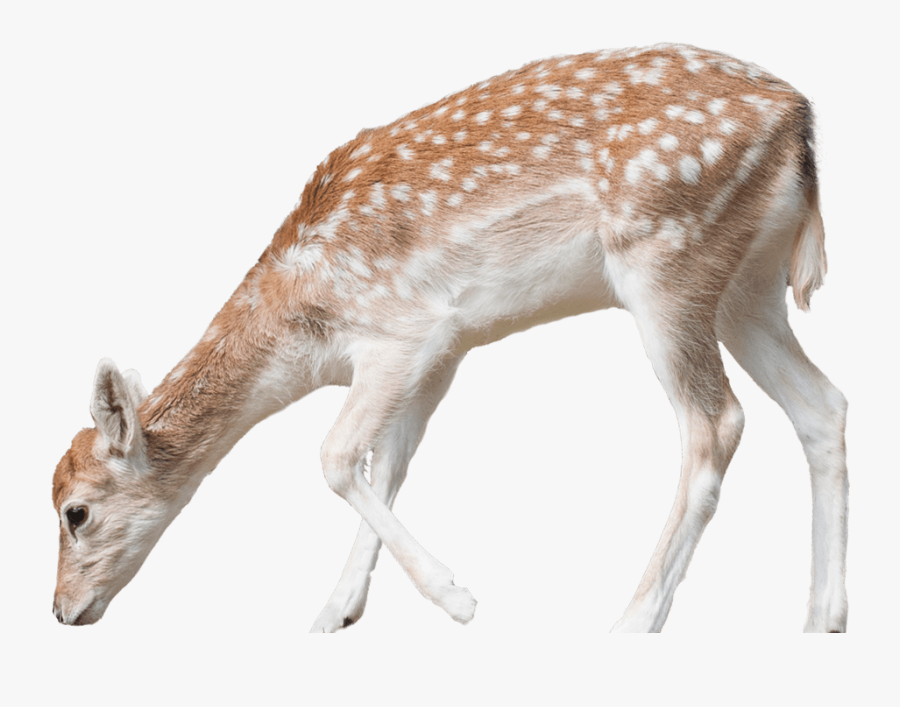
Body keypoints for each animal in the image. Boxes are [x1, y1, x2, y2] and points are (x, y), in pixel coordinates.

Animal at [51, 43, 848, 632]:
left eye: (75, 511)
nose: (60, 611)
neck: (301, 334)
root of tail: (800, 118)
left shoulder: (404, 329)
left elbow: (335, 457)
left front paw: (458, 598)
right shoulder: (443, 352)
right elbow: (388, 466)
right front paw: (334, 612)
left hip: (665, 259)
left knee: (717, 421)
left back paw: (633, 620)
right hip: (748, 287)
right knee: (824, 404)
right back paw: (823, 618)